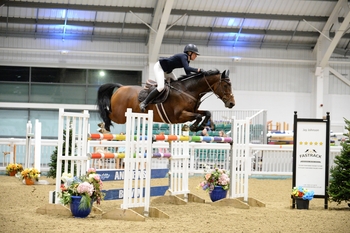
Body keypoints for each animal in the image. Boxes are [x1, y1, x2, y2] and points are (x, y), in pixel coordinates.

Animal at [97, 68, 237, 131]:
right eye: (226, 85)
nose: (232, 103)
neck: (188, 90)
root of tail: (121, 87)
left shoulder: (193, 110)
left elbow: (207, 113)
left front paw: (203, 126)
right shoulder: (179, 115)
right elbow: (197, 116)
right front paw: (194, 127)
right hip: (120, 116)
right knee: (107, 114)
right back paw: (104, 126)